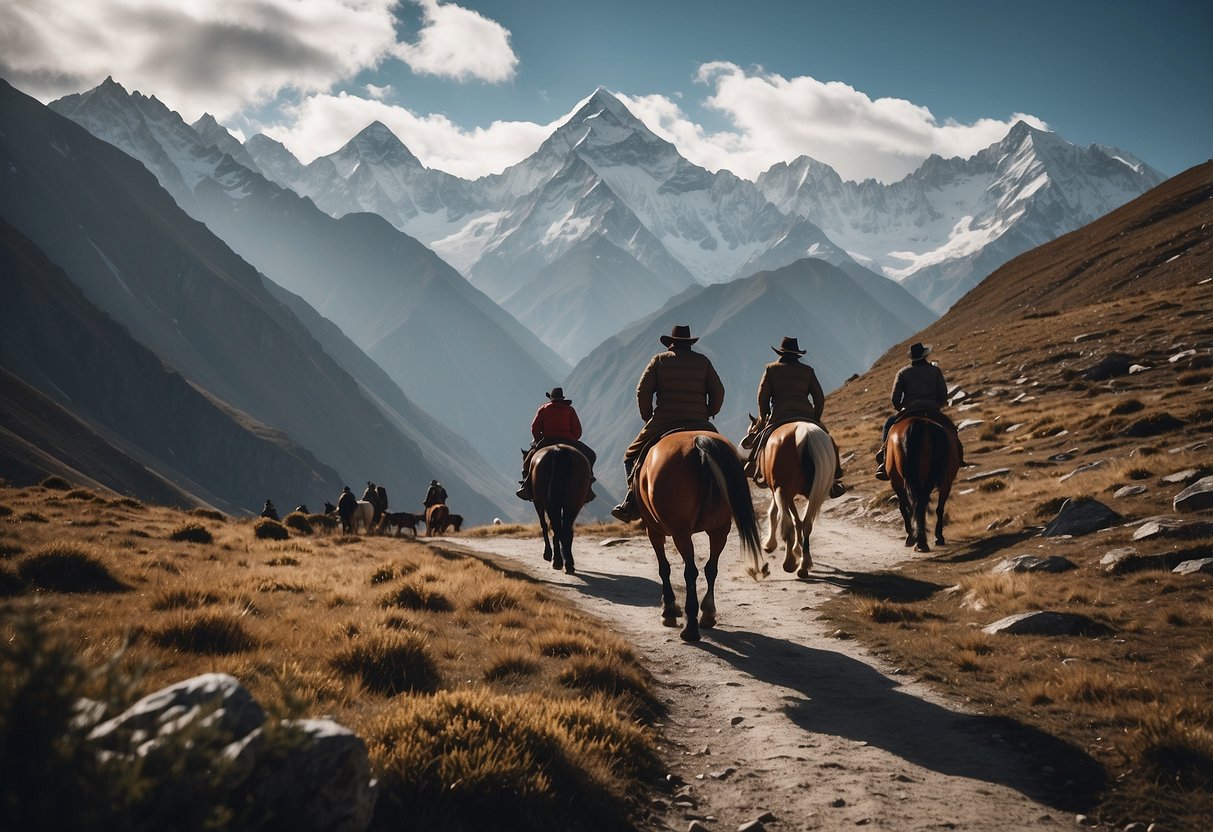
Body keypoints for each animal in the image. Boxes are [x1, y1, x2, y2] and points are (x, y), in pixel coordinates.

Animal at [526, 446, 591, 577]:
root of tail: (559, 450)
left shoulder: (537, 502)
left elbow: (544, 525)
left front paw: (547, 554)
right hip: (573, 503)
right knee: (566, 530)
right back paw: (568, 563)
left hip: (549, 503)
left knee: (556, 528)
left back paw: (557, 560)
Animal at [635, 429, 756, 645]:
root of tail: (699, 441)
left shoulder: (653, 530)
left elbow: (664, 568)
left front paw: (669, 610)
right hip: (720, 529)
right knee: (711, 568)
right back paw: (708, 614)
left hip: (680, 532)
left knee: (690, 571)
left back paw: (690, 628)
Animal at [742, 419, 839, 577]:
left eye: (752, 429)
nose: (744, 442)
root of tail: (806, 434)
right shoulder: (789, 494)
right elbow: (797, 520)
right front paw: (798, 550)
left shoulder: (778, 490)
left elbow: (774, 514)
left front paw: (770, 544)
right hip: (814, 493)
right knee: (807, 524)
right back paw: (804, 565)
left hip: (781, 490)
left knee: (787, 527)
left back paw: (789, 563)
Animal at [887, 417, 960, 553]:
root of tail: (917, 423)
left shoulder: (895, 482)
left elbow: (904, 507)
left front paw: (910, 536)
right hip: (936, 480)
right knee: (926, 504)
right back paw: (926, 541)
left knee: (917, 504)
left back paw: (919, 541)